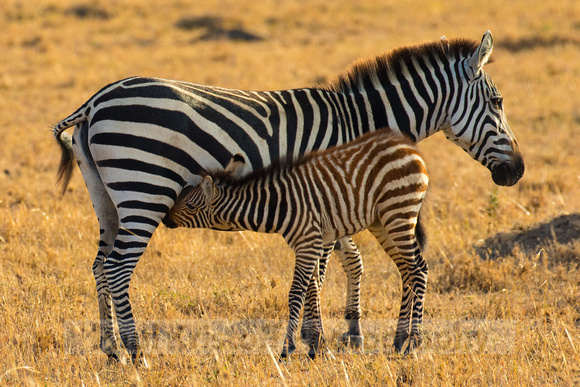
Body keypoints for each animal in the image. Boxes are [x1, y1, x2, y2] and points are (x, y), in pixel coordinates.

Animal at [163, 129, 430, 360]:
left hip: (398, 212)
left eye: (190, 206)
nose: (165, 218)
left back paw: (413, 343)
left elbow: (296, 293)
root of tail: (408, 147)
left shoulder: (308, 243)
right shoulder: (306, 244)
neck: (278, 206)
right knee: (407, 270)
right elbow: (312, 289)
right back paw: (398, 340)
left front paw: (288, 349)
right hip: (382, 221)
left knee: (418, 270)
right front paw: (317, 345)